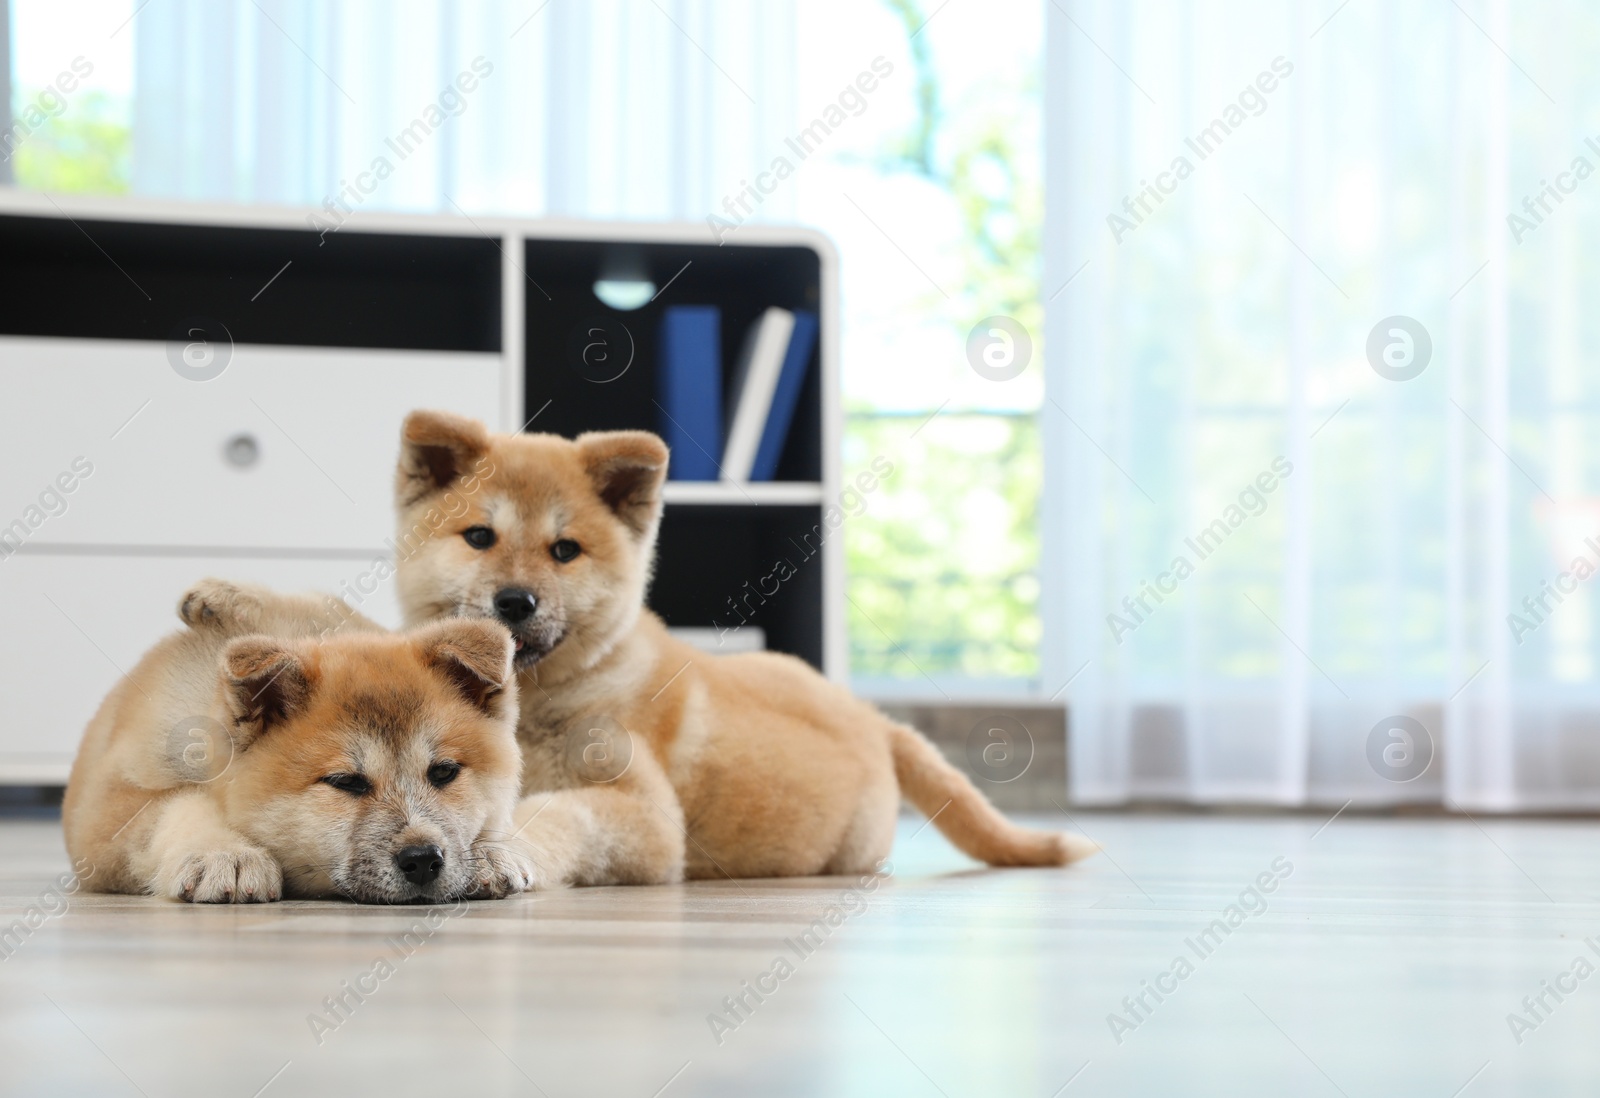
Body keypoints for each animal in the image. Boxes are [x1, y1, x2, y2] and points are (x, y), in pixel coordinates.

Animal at [64, 579, 531, 909]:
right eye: (346, 782)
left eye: (444, 772)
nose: (422, 859)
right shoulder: (108, 811)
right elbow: (179, 803)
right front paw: (224, 853)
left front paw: (490, 852)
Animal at [393, 408, 1094, 889]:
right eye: (479, 537)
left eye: (565, 550)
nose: (517, 602)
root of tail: (871, 718)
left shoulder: (644, 815)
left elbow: (551, 816)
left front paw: (500, 853)